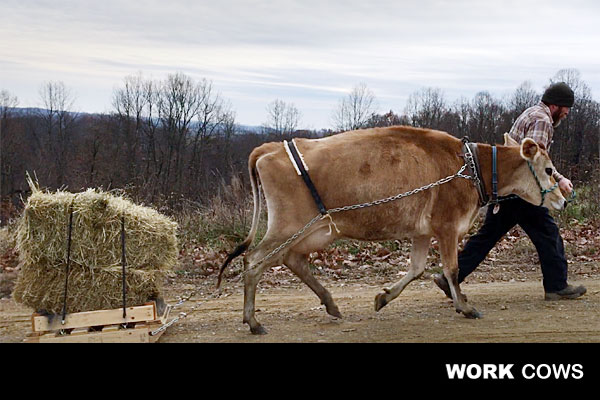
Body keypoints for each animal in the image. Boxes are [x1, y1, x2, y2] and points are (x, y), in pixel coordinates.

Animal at [218, 126, 564, 334]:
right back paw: (253, 321)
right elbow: (451, 269)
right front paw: (465, 306)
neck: (472, 167)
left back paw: (331, 304)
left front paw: (383, 298)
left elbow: (417, 269)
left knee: (290, 260)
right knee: (254, 260)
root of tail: (269, 148)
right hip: (288, 225)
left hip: (313, 230)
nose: (562, 198)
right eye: (548, 169)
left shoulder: (423, 231)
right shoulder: (447, 225)